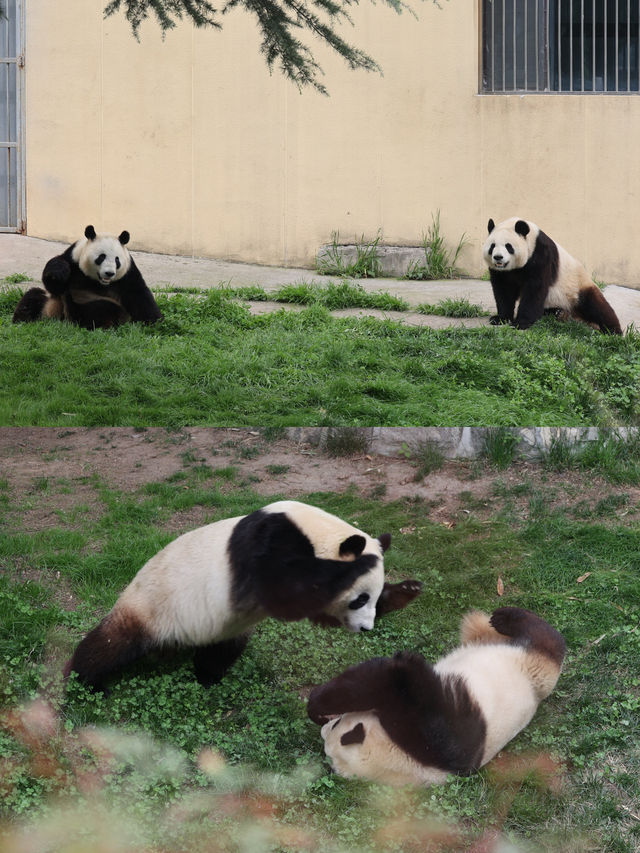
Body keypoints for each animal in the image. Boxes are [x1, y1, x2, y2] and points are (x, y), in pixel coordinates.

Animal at [63, 500, 424, 692]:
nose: (365, 628)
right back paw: (86, 682)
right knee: (110, 644)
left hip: (220, 627)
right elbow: (289, 594)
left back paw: (207, 678)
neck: (315, 530)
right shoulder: (270, 545)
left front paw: (407, 591)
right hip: (150, 605)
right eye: (359, 599)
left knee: (222, 650)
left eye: (371, 601)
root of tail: (167, 644)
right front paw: (360, 564)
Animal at [308, 604, 564, 784]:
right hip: (532, 666)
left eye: (338, 723)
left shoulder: (431, 737)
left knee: (546, 638)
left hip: (534, 668)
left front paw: (317, 709)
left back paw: (503, 617)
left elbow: (392, 679)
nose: (325, 728)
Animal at [482, 218, 624, 334]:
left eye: (508, 246)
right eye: (492, 246)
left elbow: (535, 289)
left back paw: (613, 331)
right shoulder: (502, 272)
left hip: (577, 287)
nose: (498, 257)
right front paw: (500, 318)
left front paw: (521, 323)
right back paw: (557, 312)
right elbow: (504, 290)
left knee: (595, 305)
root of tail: (573, 314)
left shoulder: (541, 255)